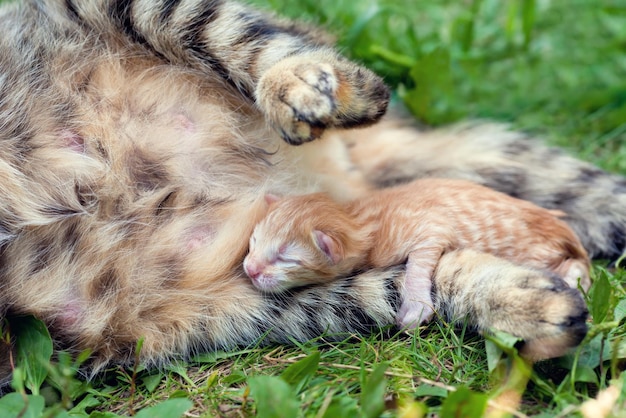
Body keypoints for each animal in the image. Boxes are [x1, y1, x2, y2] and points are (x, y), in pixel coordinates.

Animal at [244, 178, 588, 328]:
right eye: (254, 241)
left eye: (285, 257)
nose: (249, 269)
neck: (360, 217)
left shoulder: (429, 228)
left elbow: (418, 263)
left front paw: (415, 306)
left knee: (576, 265)